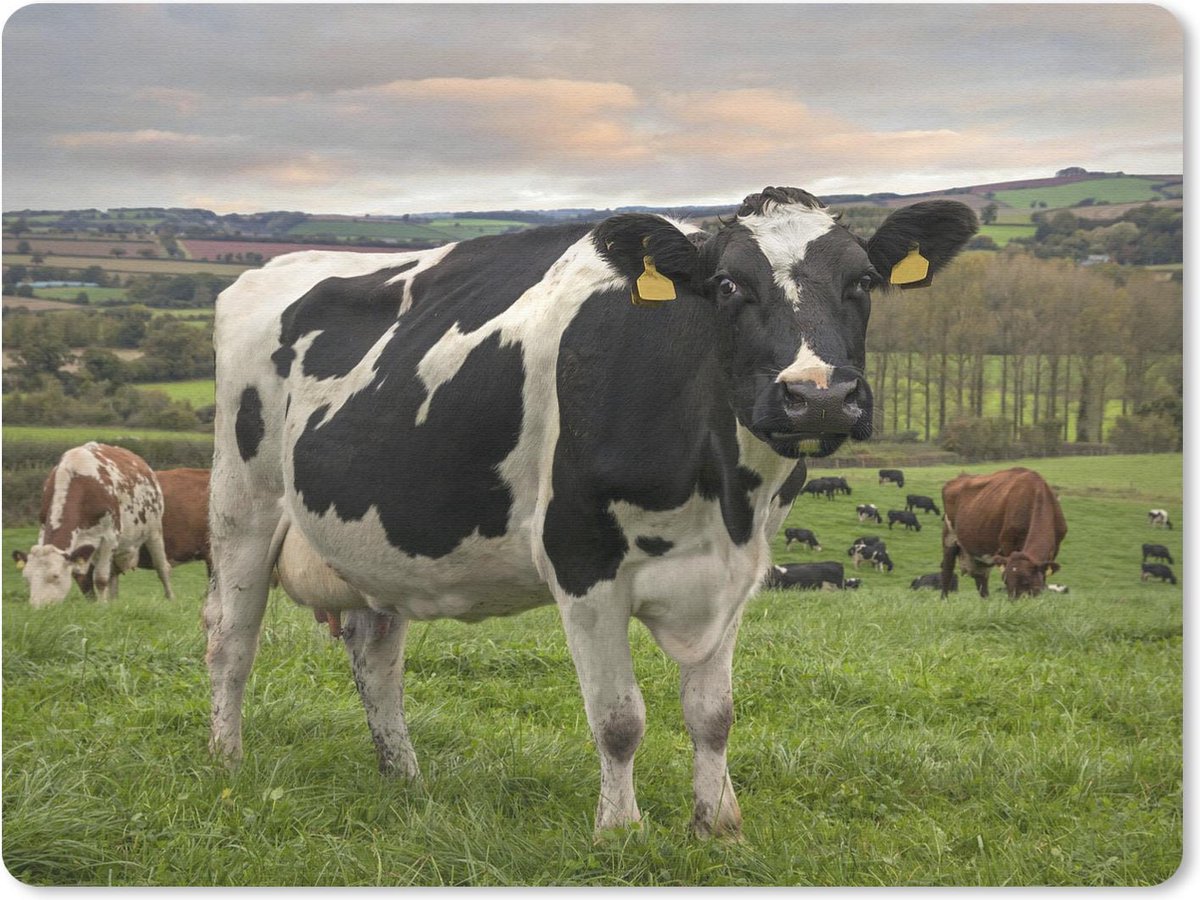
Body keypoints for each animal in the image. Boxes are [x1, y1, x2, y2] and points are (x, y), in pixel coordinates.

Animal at [16, 443, 174, 608]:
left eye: (55, 576)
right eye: (26, 578)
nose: (38, 608)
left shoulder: (109, 538)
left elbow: (101, 578)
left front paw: (102, 607)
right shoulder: (44, 530)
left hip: (154, 531)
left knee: (162, 567)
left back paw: (171, 599)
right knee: (113, 574)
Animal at [203, 185, 975, 839]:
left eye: (863, 282)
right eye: (729, 285)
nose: (816, 396)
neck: (720, 491)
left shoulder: (739, 569)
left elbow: (714, 715)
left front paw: (718, 825)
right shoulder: (582, 562)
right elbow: (619, 720)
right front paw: (620, 832)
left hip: (375, 547)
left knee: (375, 653)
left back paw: (404, 778)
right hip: (241, 505)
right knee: (231, 641)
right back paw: (227, 763)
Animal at [940, 467, 1067, 599]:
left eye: (1026, 582)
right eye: (1005, 581)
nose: (1014, 601)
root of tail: (961, 477)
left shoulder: (1055, 547)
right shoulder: (1008, 543)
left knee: (981, 578)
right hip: (949, 537)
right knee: (947, 570)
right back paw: (944, 600)